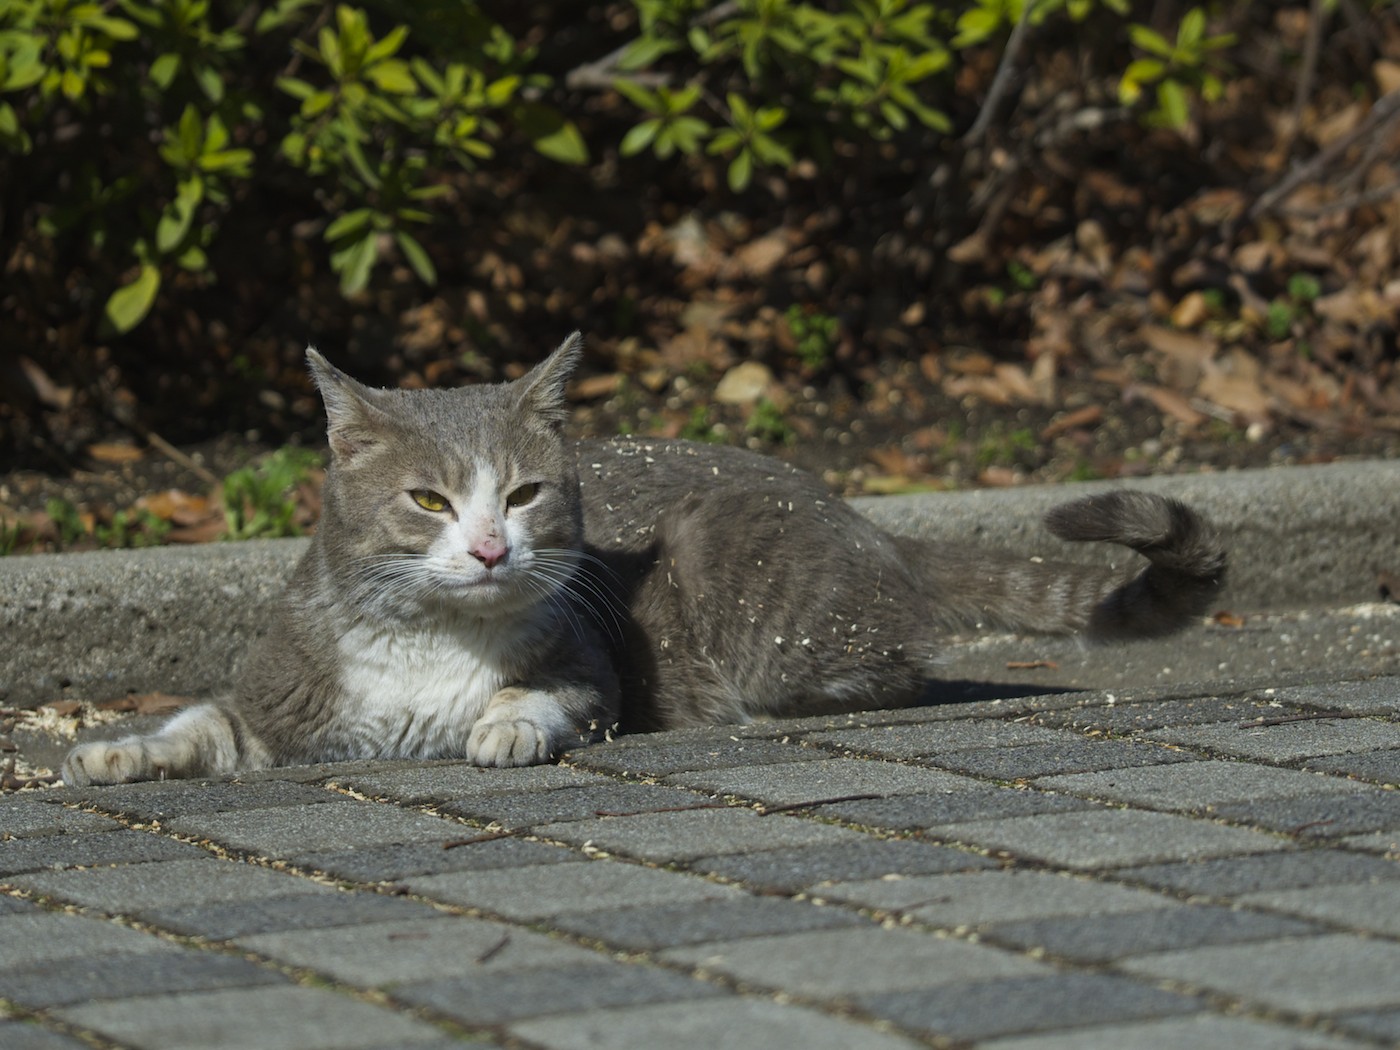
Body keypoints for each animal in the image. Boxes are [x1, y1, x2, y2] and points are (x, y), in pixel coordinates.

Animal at [63, 333, 1226, 784]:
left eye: (523, 494)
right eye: (429, 500)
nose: (490, 546)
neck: (435, 644)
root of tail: (866, 517)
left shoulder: (591, 676)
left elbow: (542, 699)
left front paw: (500, 727)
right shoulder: (280, 701)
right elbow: (201, 726)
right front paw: (115, 754)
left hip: (749, 592)